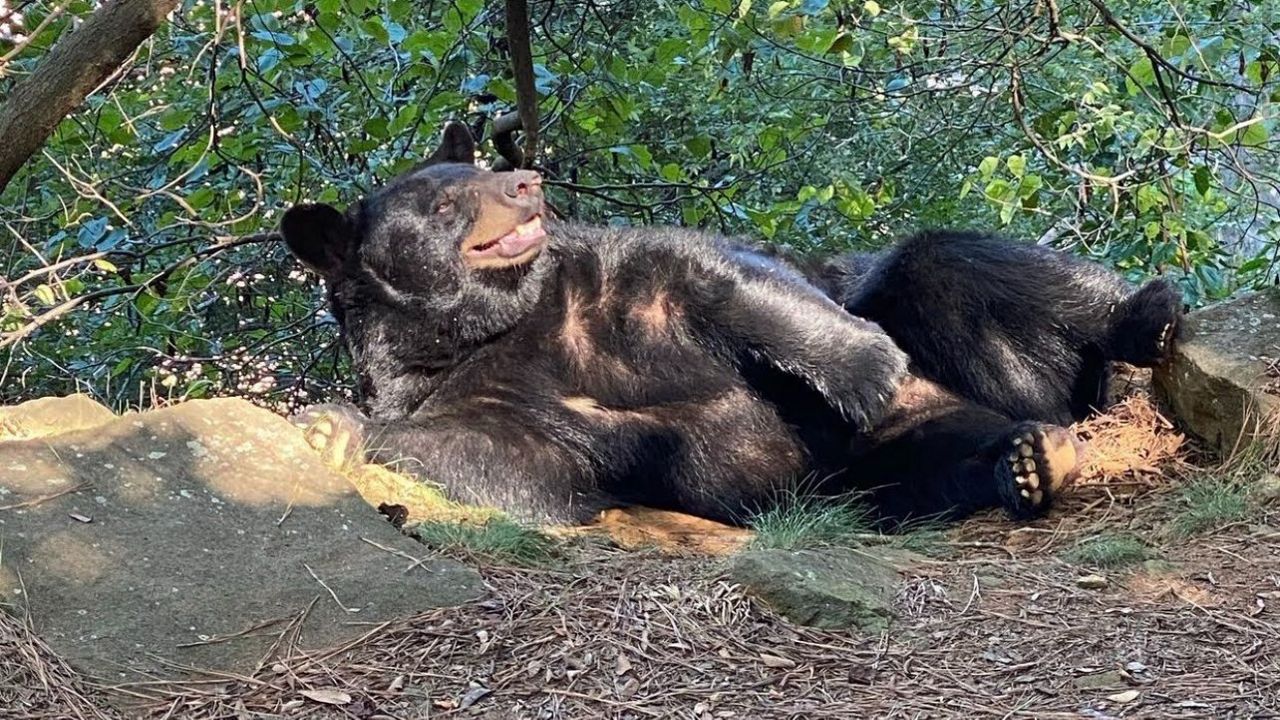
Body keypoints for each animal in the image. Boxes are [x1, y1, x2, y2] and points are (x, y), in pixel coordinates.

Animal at [282, 122, 1080, 525]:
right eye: (446, 206)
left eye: (479, 173)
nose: (525, 181)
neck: (490, 328)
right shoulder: (479, 394)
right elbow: (514, 464)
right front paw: (330, 428)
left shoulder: (604, 280)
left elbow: (725, 282)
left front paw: (869, 370)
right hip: (884, 467)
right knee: (936, 463)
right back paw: (1026, 463)